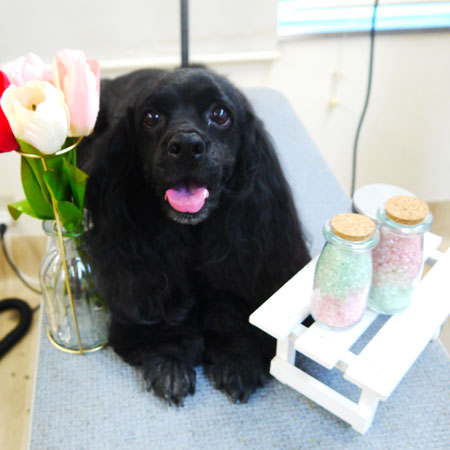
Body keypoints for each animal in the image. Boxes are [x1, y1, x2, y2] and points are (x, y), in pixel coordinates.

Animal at [79, 68, 310, 406]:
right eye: (152, 117)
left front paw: (238, 360)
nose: (187, 144)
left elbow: (234, 313)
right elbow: (161, 321)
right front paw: (171, 365)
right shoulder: (141, 273)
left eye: (220, 114)